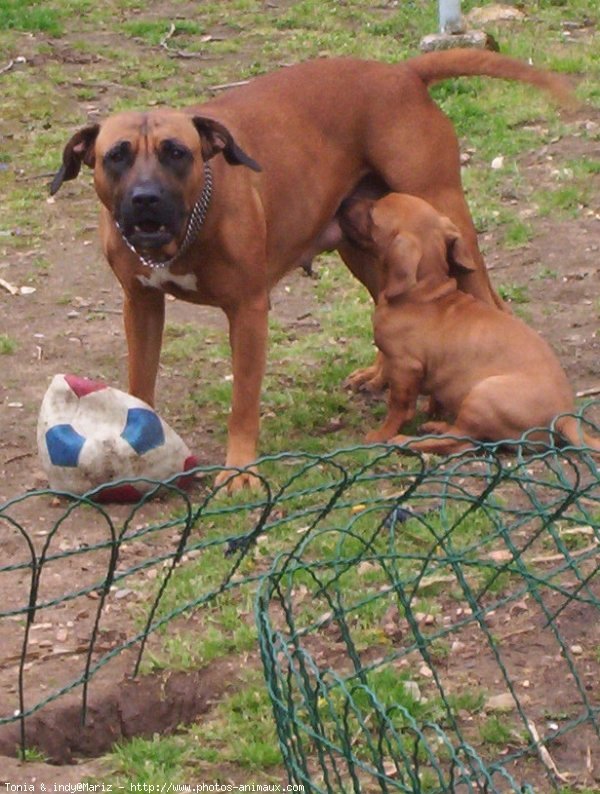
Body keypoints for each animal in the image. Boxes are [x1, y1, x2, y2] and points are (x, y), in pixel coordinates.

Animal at [340, 191, 600, 452]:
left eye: (372, 211)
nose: (345, 202)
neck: (423, 292)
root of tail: (565, 418)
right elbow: (434, 396)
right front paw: (432, 411)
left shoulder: (405, 366)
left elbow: (398, 407)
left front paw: (381, 434)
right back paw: (436, 426)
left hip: (482, 396)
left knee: (461, 440)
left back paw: (409, 441)